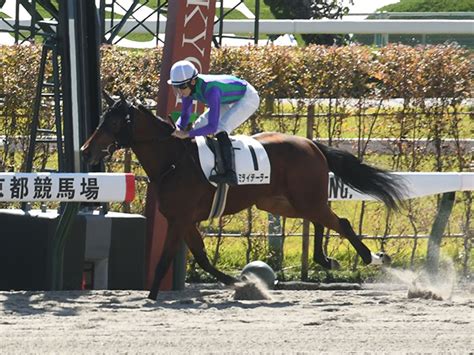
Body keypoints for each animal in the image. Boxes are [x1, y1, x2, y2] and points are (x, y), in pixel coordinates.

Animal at [80, 94, 404, 300]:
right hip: (282, 202)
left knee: (342, 222)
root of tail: (312, 144)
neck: (173, 161)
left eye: (113, 123)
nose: (85, 150)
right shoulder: (184, 221)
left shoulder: (179, 220)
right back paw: (325, 259)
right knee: (322, 220)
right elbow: (203, 258)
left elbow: (163, 262)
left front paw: (150, 296)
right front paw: (241, 283)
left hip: (303, 198)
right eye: (101, 119)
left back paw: (371, 257)